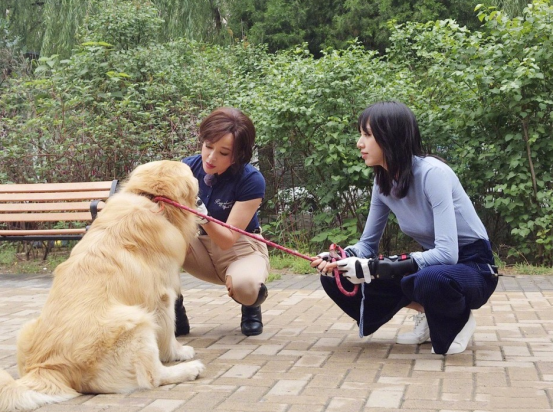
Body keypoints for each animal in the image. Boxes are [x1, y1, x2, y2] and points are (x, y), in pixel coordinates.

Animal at [0, 159, 205, 410]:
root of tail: (47, 368)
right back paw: (189, 369)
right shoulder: (163, 296)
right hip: (136, 321)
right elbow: (168, 331)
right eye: (192, 176)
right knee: (152, 376)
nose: (201, 199)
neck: (152, 200)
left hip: (26, 329)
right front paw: (178, 352)